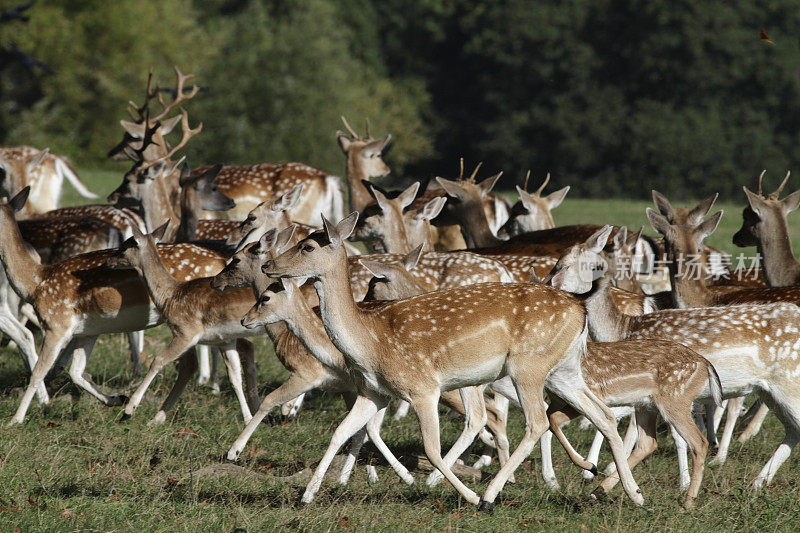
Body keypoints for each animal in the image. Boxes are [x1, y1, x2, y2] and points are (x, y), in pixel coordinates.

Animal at [260, 214, 648, 510]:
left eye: (308, 246)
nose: (268, 264)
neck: (370, 343)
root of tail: (579, 307)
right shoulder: (375, 392)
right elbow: (339, 432)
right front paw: (306, 495)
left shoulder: (422, 387)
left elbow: (432, 449)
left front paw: (469, 496)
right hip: (563, 370)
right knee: (603, 414)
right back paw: (631, 492)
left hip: (528, 366)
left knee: (537, 422)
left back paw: (491, 495)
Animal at [552, 227, 800, 488]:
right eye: (557, 262)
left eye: (564, 265)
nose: (550, 284)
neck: (623, 328)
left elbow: (667, 434)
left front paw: (683, 481)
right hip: (769, 390)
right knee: (793, 430)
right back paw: (757, 482)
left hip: (789, 383)